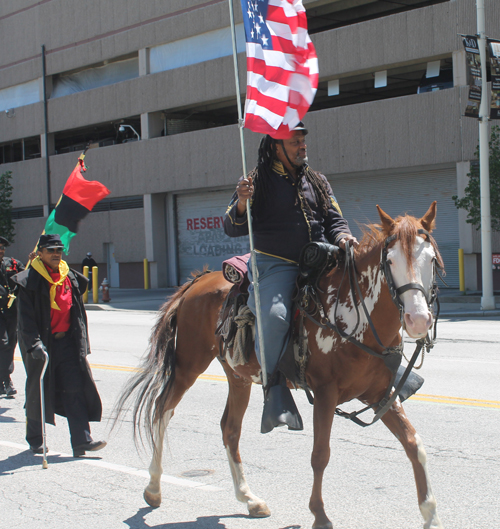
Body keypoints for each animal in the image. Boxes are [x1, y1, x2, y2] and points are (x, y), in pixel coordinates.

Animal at [114, 201, 446, 528]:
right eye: (389, 261)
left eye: (431, 259)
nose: (418, 319)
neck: (354, 317)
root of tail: (198, 280)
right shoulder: (325, 394)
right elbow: (320, 454)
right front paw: (319, 515)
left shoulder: (381, 395)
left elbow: (414, 444)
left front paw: (431, 515)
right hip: (188, 365)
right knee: (162, 411)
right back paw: (153, 488)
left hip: (238, 377)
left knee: (229, 429)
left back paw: (249, 499)